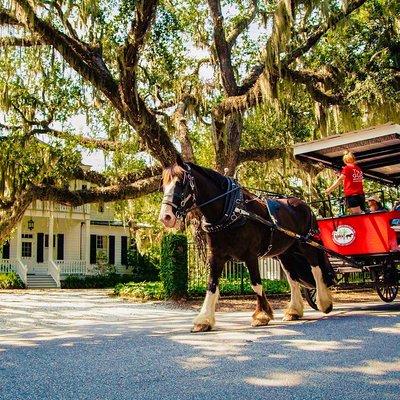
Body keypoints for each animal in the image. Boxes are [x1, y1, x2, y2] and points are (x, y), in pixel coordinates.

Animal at [159, 159, 334, 332]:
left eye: (181, 183)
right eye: (163, 185)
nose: (165, 217)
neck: (231, 212)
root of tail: (303, 204)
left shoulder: (251, 255)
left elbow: (256, 284)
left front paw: (261, 315)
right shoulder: (216, 256)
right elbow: (211, 285)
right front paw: (204, 320)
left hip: (307, 244)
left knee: (316, 269)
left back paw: (324, 303)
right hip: (285, 253)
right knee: (293, 278)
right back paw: (294, 311)